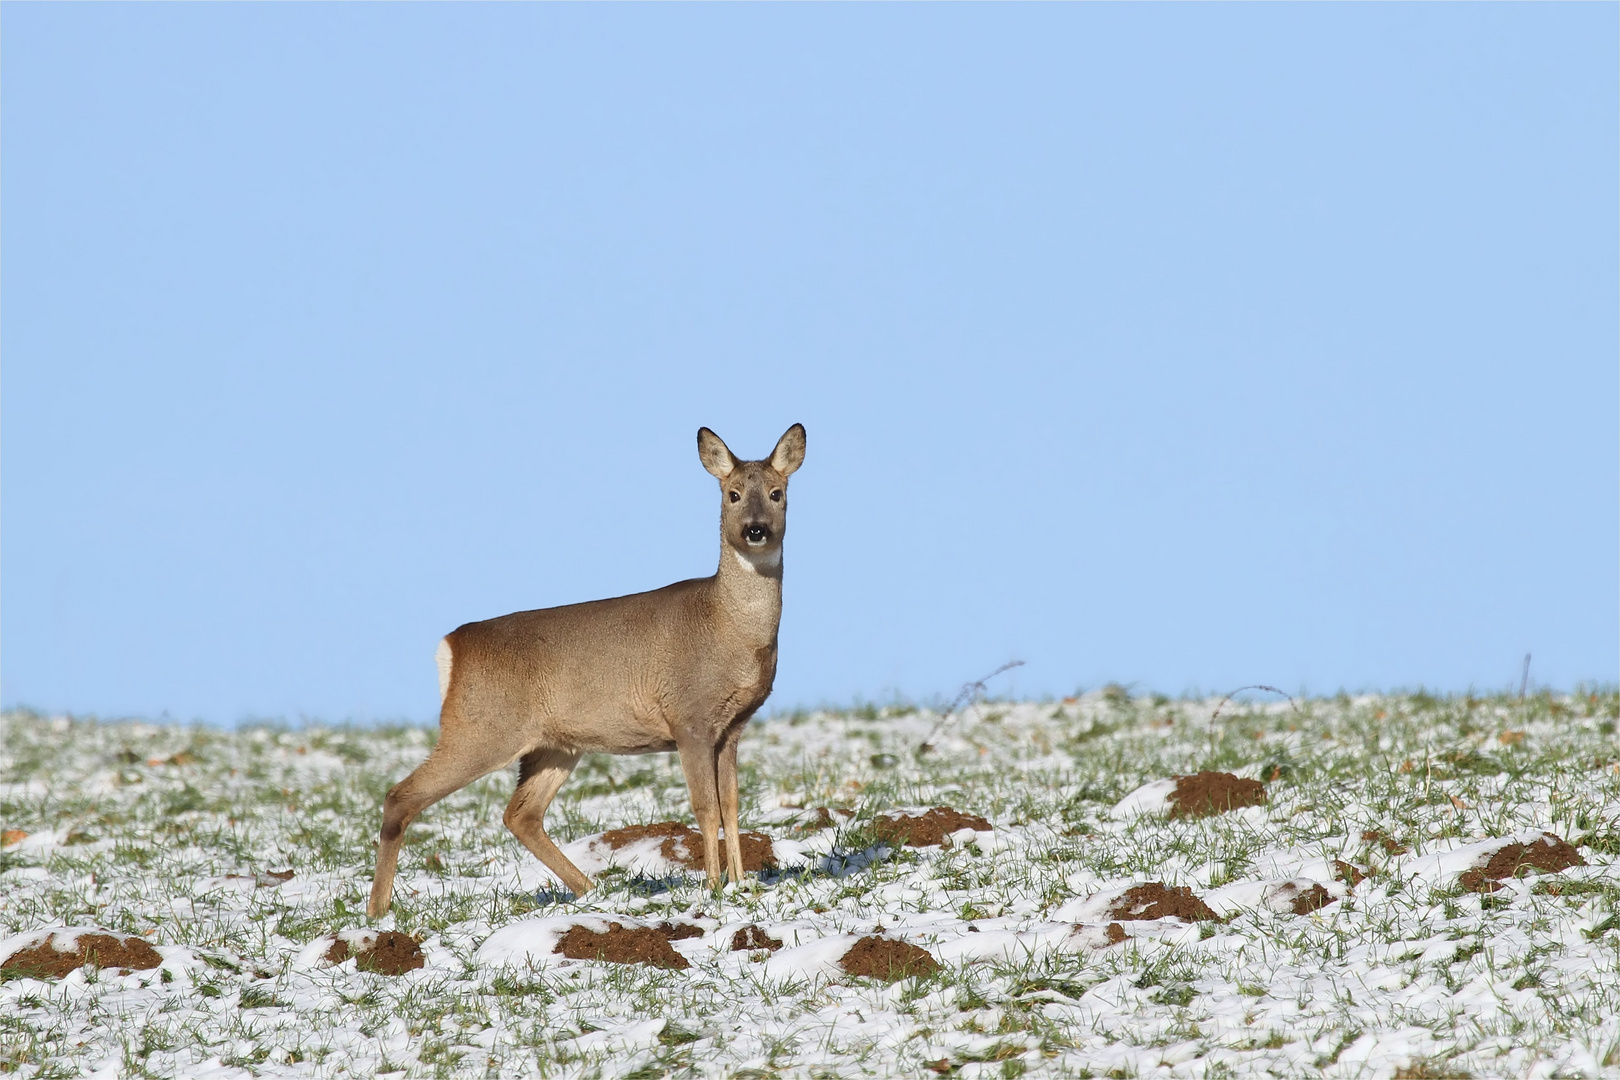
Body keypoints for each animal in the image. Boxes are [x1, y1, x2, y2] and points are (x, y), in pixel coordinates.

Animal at [361, 427, 803, 919]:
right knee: (400, 796)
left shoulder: (732, 727)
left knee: (520, 813)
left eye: (777, 493)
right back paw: (377, 911)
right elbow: (706, 807)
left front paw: (740, 883)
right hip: (480, 728)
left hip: (552, 745)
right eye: (733, 494)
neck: (727, 626)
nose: (755, 529)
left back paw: (592, 891)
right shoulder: (688, 717)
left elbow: (732, 806)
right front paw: (713, 887)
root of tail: (452, 647)